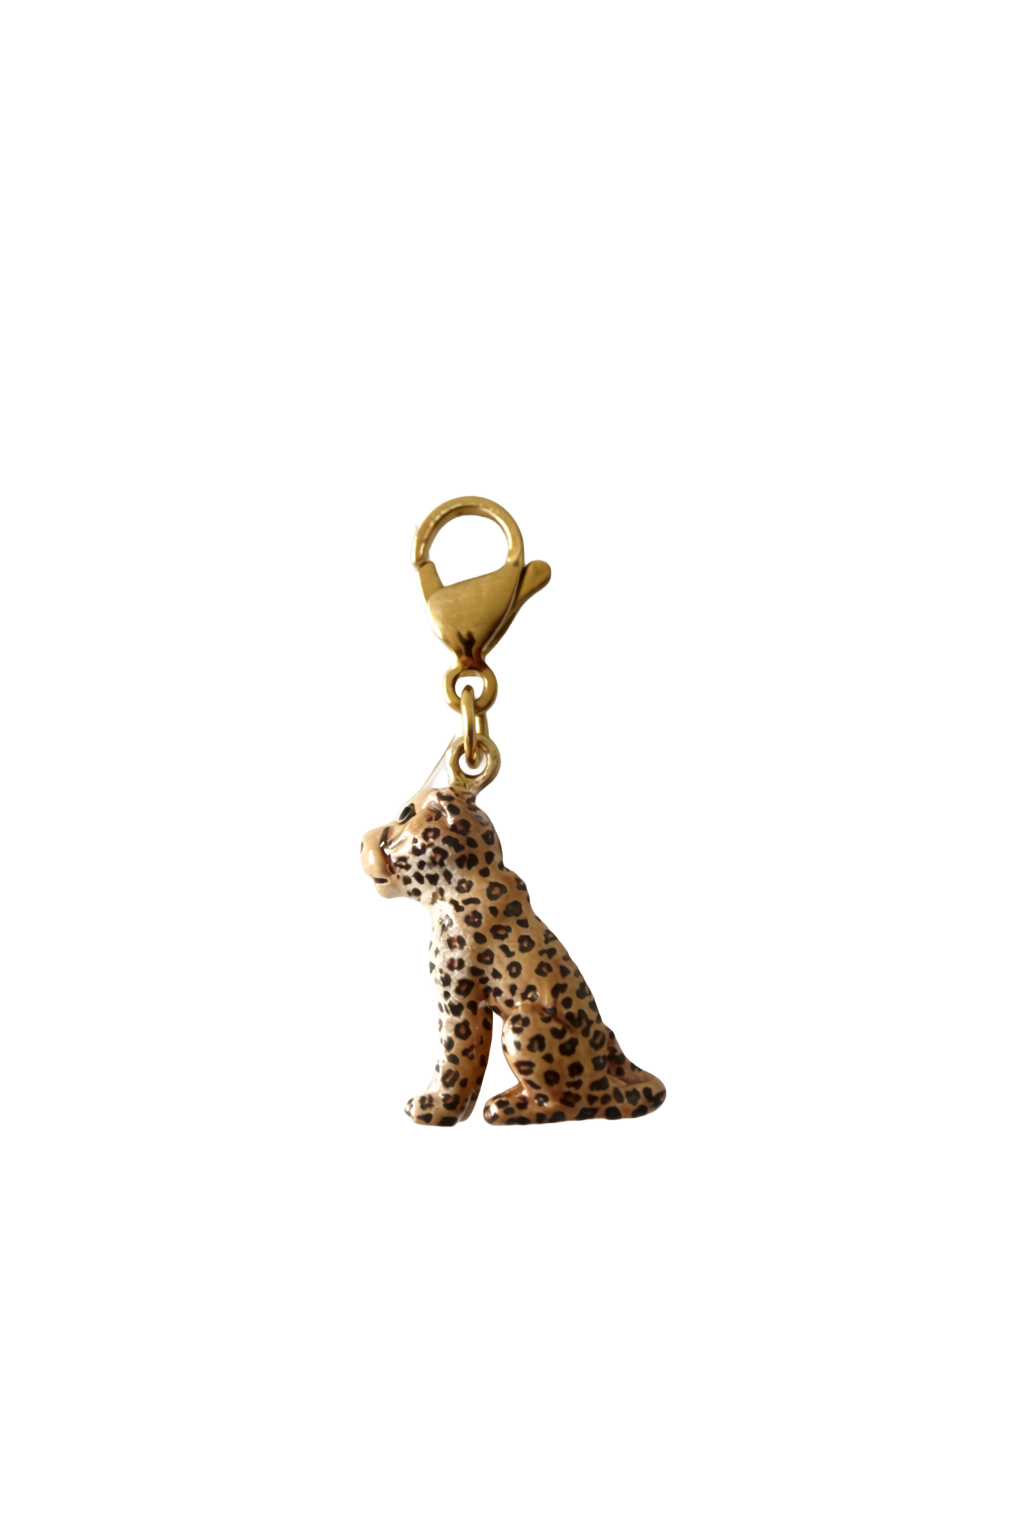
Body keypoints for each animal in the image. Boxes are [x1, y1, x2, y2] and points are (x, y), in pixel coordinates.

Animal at [360, 784, 667, 1126]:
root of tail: (604, 1077)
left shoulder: (458, 998)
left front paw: (436, 1107)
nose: (362, 841)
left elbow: (454, 1059)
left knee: (571, 1104)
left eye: (405, 814)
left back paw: (508, 1108)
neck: (464, 883)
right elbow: (470, 1058)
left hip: (522, 1023)